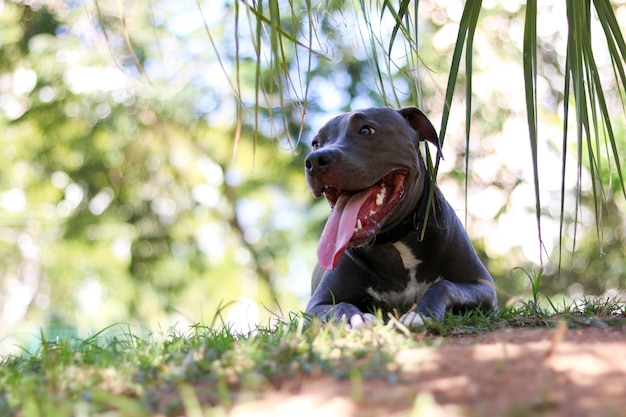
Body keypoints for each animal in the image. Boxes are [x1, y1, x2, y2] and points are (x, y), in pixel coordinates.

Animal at [304, 105, 498, 326]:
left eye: (366, 130)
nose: (314, 160)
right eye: (316, 143)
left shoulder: (483, 285)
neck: (395, 240)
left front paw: (421, 312)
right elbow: (340, 307)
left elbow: (445, 285)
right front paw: (356, 319)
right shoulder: (317, 305)